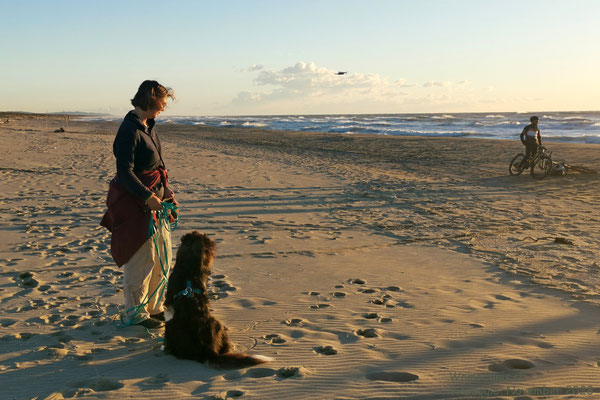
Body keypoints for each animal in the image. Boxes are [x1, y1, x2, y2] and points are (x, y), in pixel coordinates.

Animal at [164, 231, 272, 368]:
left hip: (170, 327)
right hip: (218, 324)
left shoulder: (168, 299)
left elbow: (167, 311)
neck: (189, 269)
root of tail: (208, 350)